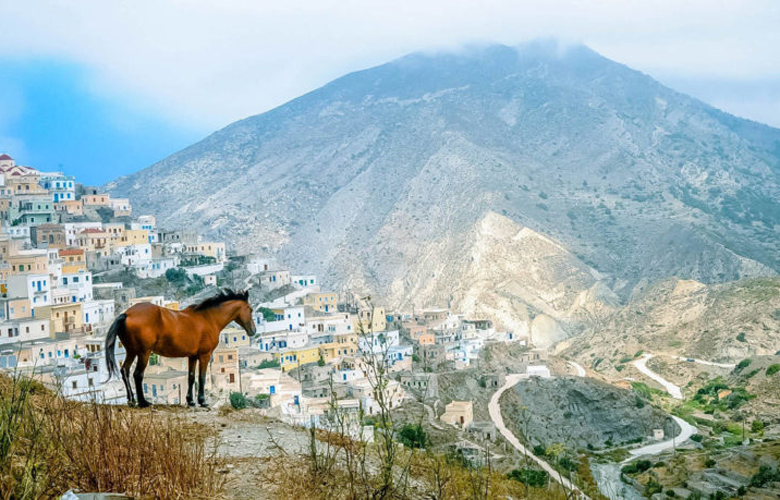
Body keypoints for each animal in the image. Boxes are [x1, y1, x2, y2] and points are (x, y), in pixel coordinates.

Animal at [103, 290, 254, 406]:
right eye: (250, 310)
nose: (253, 330)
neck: (208, 318)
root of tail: (127, 314)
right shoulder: (205, 355)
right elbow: (202, 377)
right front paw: (202, 401)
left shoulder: (192, 356)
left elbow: (191, 377)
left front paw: (190, 401)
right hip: (143, 353)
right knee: (137, 374)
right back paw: (143, 402)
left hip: (132, 351)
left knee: (125, 370)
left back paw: (131, 400)